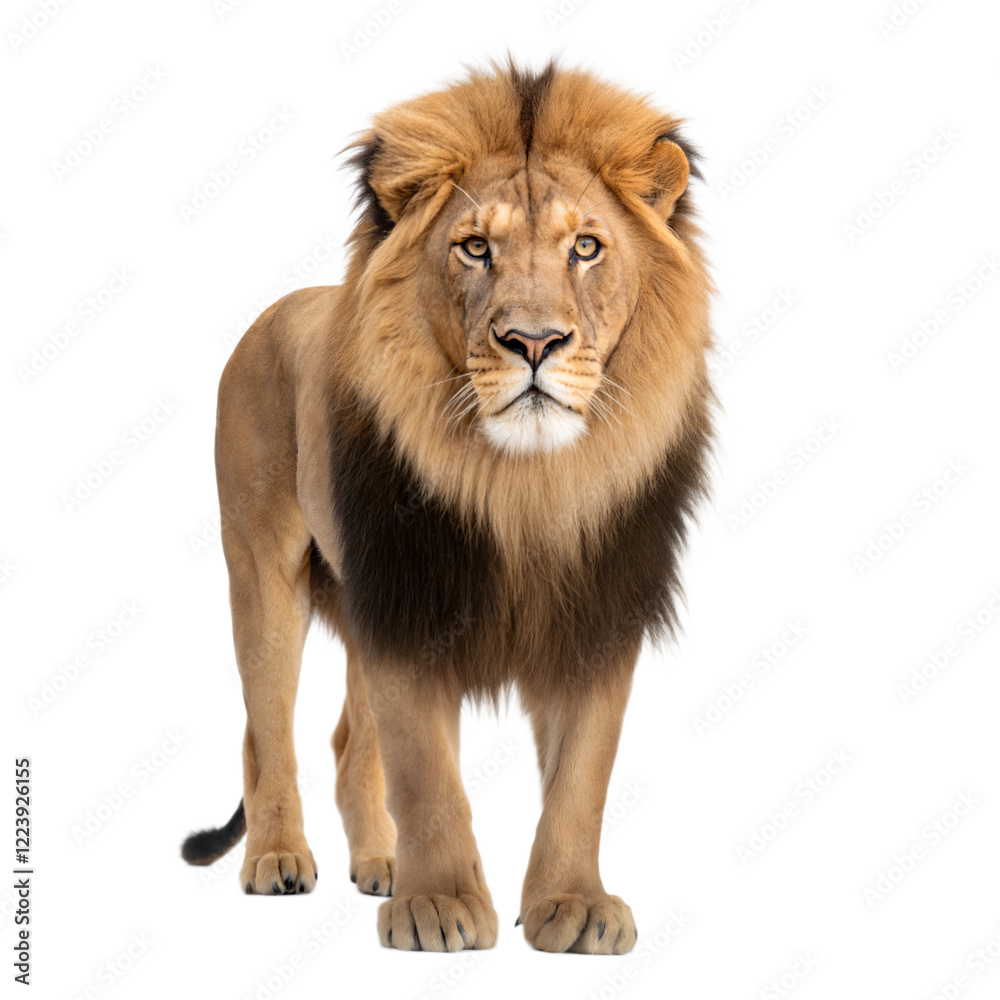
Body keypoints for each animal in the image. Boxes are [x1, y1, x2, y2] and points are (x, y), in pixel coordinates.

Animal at [181, 60, 713, 955]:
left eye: (585, 247)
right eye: (475, 248)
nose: (534, 343)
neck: (524, 487)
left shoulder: (597, 612)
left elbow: (582, 778)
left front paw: (573, 906)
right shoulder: (409, 604)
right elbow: (426, 775)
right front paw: (439, 907)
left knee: (347, 743)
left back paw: (379, 864)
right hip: (263, 572)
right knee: (267, 730)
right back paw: (279, 858)